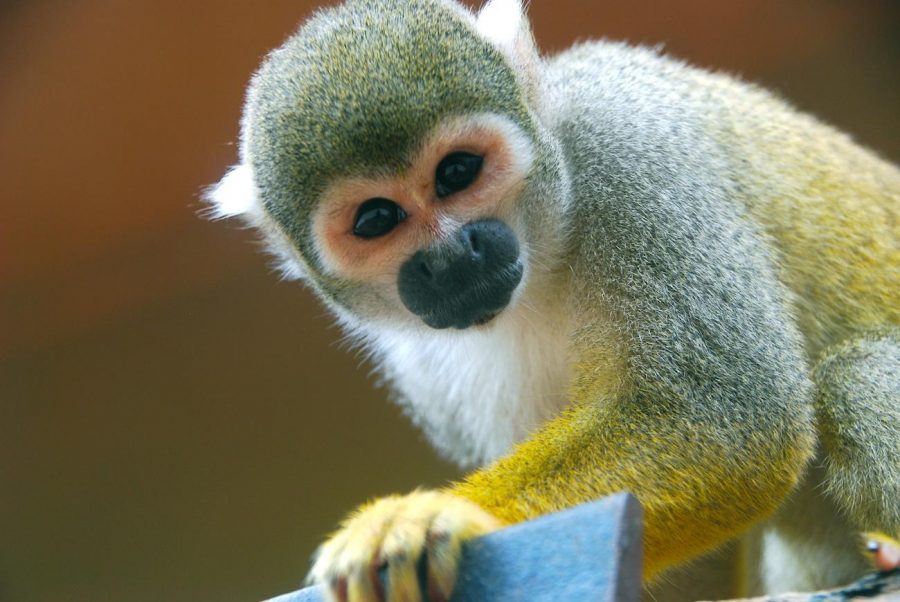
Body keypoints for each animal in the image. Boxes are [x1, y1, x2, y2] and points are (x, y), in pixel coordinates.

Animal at [207, 0, 896, 596]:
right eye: (377, 218)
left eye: (457, 173)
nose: (453, 256)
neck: (543, 260)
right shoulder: (416, 361)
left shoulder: (629, 159)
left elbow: (732, 421)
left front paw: (434, 519)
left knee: (854, 378)